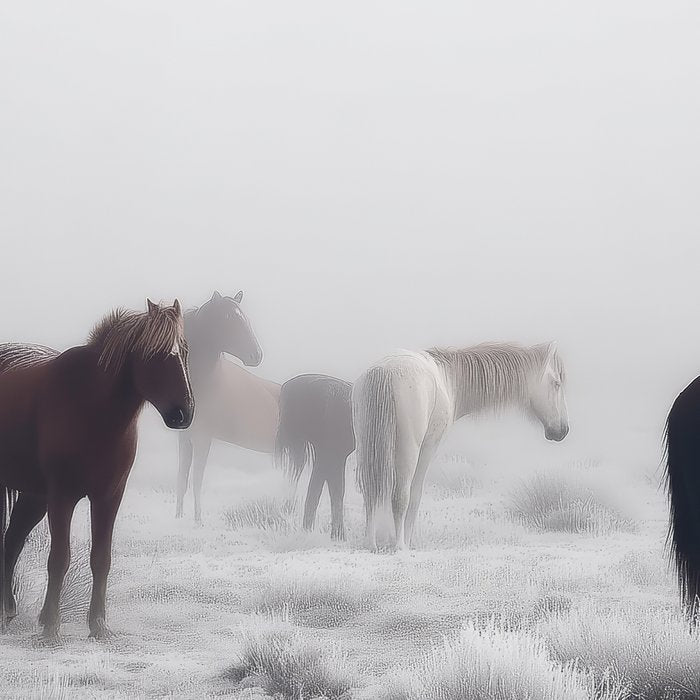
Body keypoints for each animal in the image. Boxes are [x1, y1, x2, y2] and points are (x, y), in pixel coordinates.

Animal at [0, 299, 193, 641]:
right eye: (154, 354)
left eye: (184, 351)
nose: (183, 414)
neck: (91, 407)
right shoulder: (62, 497)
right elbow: (59, 558)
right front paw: (51, 627)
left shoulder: (108, 497)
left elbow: (101, 559)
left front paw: (99, 626)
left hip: (34, 496)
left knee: (12, 541)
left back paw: (9, 612)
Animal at [176, 291, 280, 523]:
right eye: (228, 319)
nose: (256, 355)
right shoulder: (185, 439)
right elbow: (182, 479)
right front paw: (177, 518)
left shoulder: (203, 438)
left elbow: (197, 480)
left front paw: (198, 521)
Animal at [352, 342, 569, 551]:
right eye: (556, 384)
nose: (562, 430)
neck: (449, 380)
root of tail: (384, 372)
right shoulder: (428, 448)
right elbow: (414, 496)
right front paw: (406, 543)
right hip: (408, 451)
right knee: (400, 496)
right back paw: (398, 546)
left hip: (368, 451)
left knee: (370, 495)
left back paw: (370, 544)